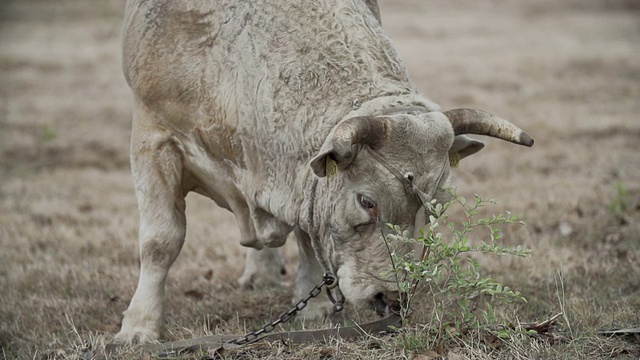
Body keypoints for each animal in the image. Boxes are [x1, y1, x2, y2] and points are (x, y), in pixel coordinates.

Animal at [114, 0, 528, 344]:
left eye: (438, 206)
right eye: (367, 201)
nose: (391, 297)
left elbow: (307, 235)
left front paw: (313, 308)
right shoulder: (154, 139)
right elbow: (161, 241)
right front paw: (139, 327)